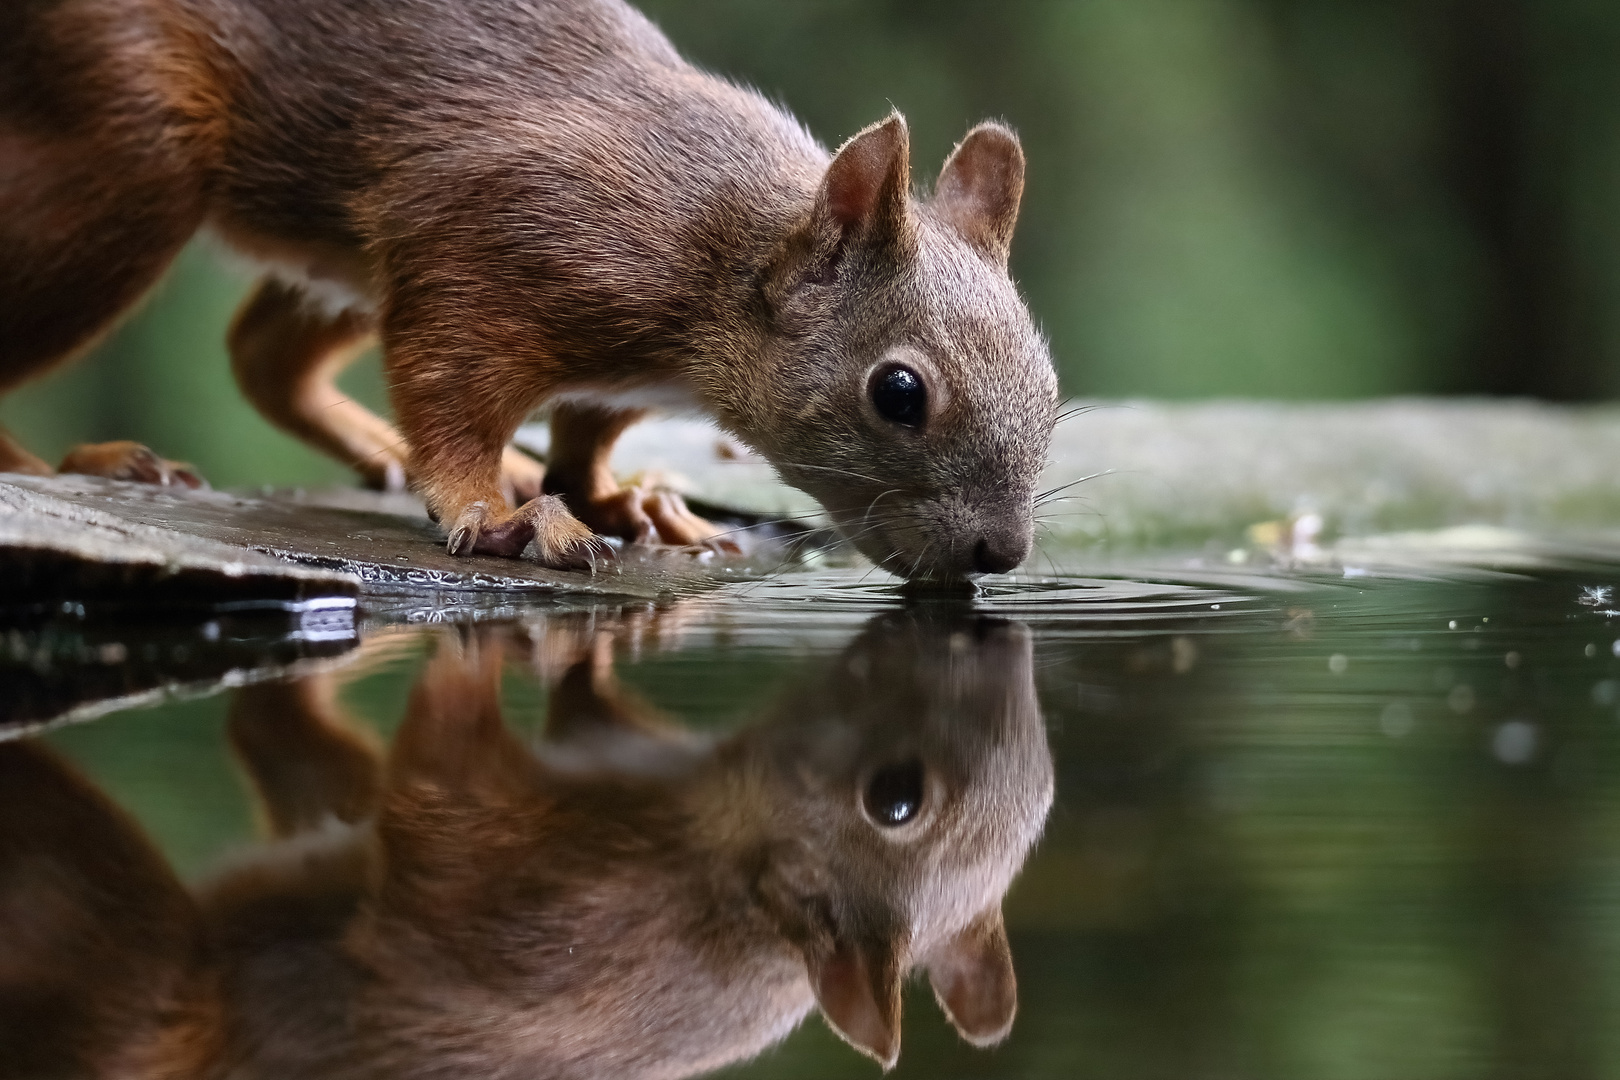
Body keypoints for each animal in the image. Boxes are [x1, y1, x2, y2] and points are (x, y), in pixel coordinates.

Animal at [0, 0, 1056, 582]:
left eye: (1050, 384)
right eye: (899, 393)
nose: (1001, 556)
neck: (715, 249)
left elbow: (589, 431)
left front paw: (619, 502)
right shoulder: (487, 244)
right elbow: (449, 390)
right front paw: (496, 511)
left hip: (334, 260)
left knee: (264, 359)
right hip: (137, 148)